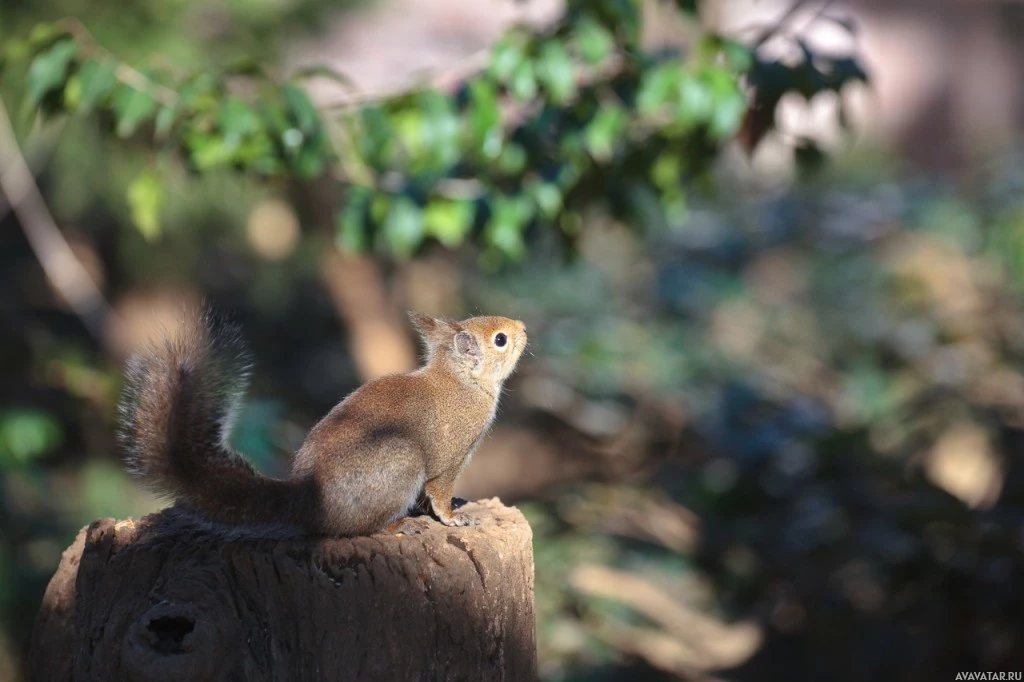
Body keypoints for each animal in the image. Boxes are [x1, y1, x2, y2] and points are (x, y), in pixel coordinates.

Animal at [117, 307, 528, 536]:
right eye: (501, 340)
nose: (523, 328)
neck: (463, 382)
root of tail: (305, 500)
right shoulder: (451, 456)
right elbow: (440, 493)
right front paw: (454, 518)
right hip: (401, 461)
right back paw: (396, 524)